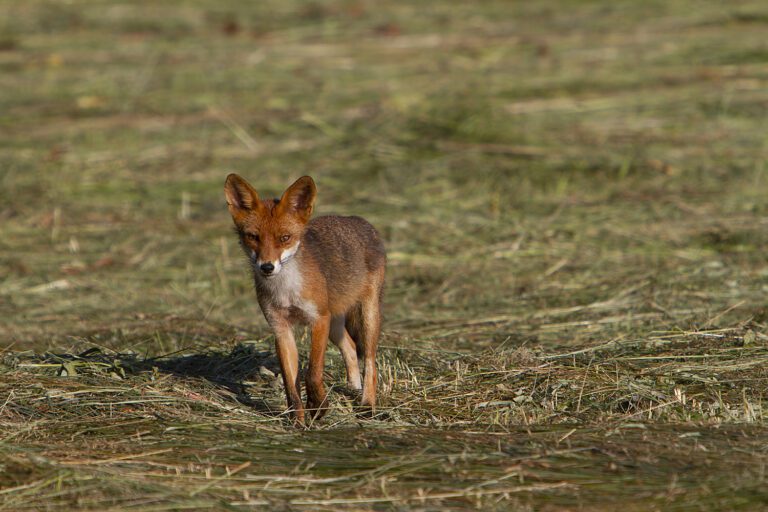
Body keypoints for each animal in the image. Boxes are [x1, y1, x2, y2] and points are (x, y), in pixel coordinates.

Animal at [225, 174, 388, 426]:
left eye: (285, 238)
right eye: (253, 237)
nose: (267, 267)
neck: (286, 290)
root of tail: (359, 220)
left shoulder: (318, 320)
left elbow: (312, 373)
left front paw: (318, 406)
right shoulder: (280, 328)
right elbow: (290, 384)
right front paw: (298, 422)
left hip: (367, 316)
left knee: (371, 361)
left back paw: (367, 405)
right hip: (335, 325)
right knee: (351, 348)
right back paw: (353, 388)